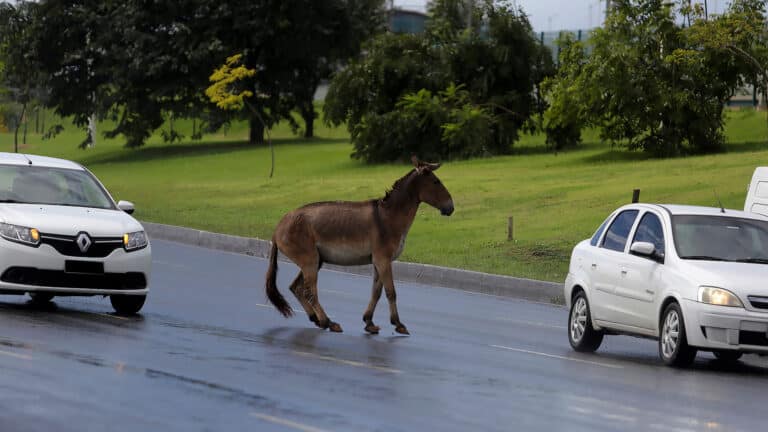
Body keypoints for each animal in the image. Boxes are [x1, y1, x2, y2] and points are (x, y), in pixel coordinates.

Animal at [265, 156, 454, 335]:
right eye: (436, 182)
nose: (451, 208)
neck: (388, 216)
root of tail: (278, 227)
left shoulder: (379, 262)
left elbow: (376, 292)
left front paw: (369, 322)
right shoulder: (383, 260)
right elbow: (391, 292)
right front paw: (398, 324)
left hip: (315, 260)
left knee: (296, 287)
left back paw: (317, 319)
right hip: (309, 260)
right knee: (309, 291)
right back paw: (328, 322)